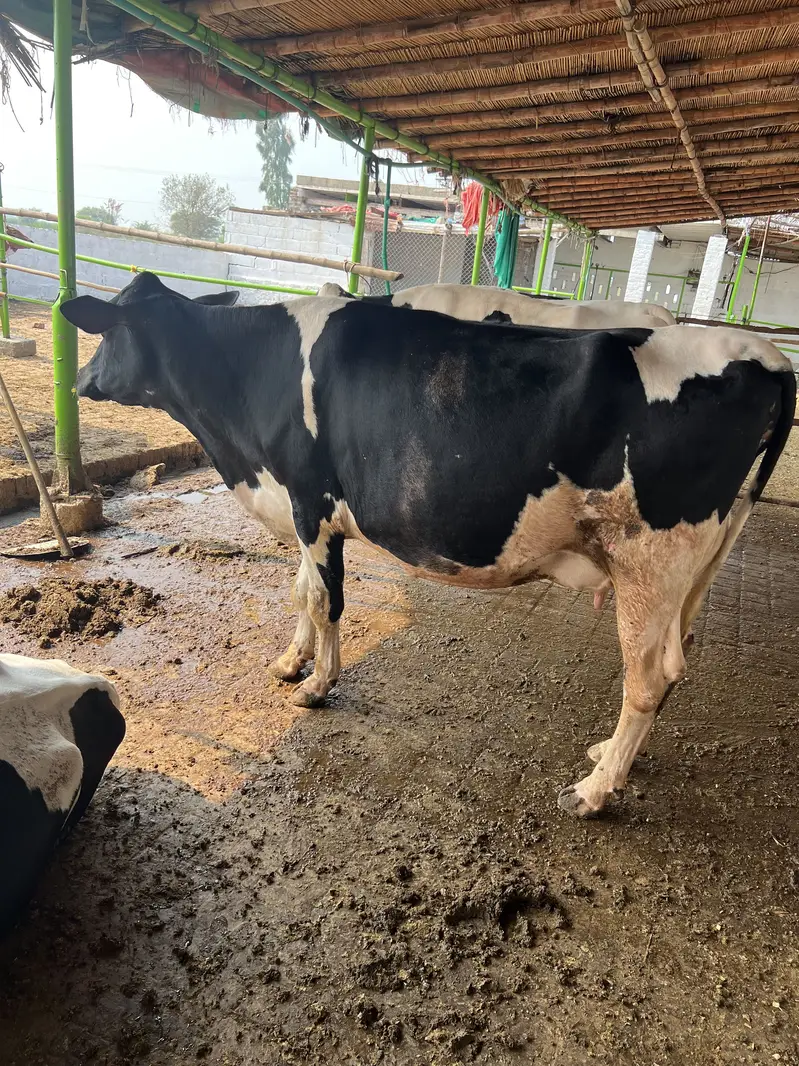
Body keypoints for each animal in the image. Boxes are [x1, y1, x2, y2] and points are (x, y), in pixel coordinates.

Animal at [61, 272, 795, 818]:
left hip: (649, 557)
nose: (78, 380)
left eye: (105, 331)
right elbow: (302, 591)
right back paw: (606, 761)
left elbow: (326, 600)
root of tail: (764, 356)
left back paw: (592, 791)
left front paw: (318, 684)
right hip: (683, 571)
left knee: (647, 679)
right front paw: (291, 662)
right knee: (674, 659)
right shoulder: (296, 506)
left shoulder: (311, 500)